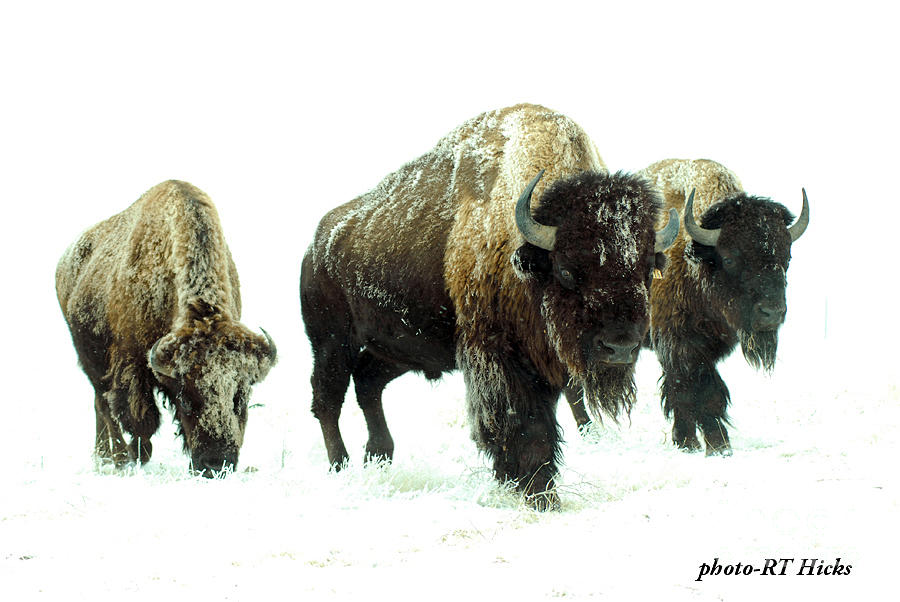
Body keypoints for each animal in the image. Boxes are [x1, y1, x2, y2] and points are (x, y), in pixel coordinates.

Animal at [55, 178, 276, 474]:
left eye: (240, 397)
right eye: (185, 399)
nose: (216, 464)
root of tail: (66, 261)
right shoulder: (132, 364)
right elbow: (140, 419)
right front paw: (137, 456)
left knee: (99, 405)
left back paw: (103, 457)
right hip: (89, 357)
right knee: (103, 404)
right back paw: (116, 458)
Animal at [300, 103, 676, 506]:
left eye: (647, 268)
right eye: (566, 269)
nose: (619, 347)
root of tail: (315, 247)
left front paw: (530, 485)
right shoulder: (497, 354)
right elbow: (523, 423)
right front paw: (537, 492)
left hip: (397, 349)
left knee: (367, 382)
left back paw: (380, 456)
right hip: (330, 341)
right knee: (327, 398)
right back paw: (341, 465)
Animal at [636, 157, 812, 452]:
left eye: (786, 258)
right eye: (729, 258)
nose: (771, 313)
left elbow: (707, 393)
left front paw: (712, 445)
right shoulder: (677, 345)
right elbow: (689, 390)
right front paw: (703, 444)